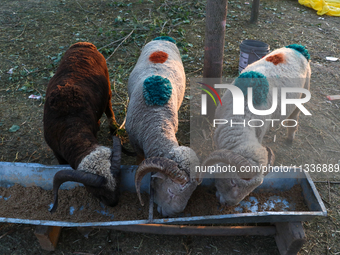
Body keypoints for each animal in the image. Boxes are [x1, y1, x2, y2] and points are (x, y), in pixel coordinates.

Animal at [202, 44, 310, 205]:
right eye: (233, 182)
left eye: (251, 190)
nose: (229, 204)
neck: (242, 115)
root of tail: (297, 49)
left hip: (303, 94)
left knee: (294, 119)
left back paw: (290, 138)